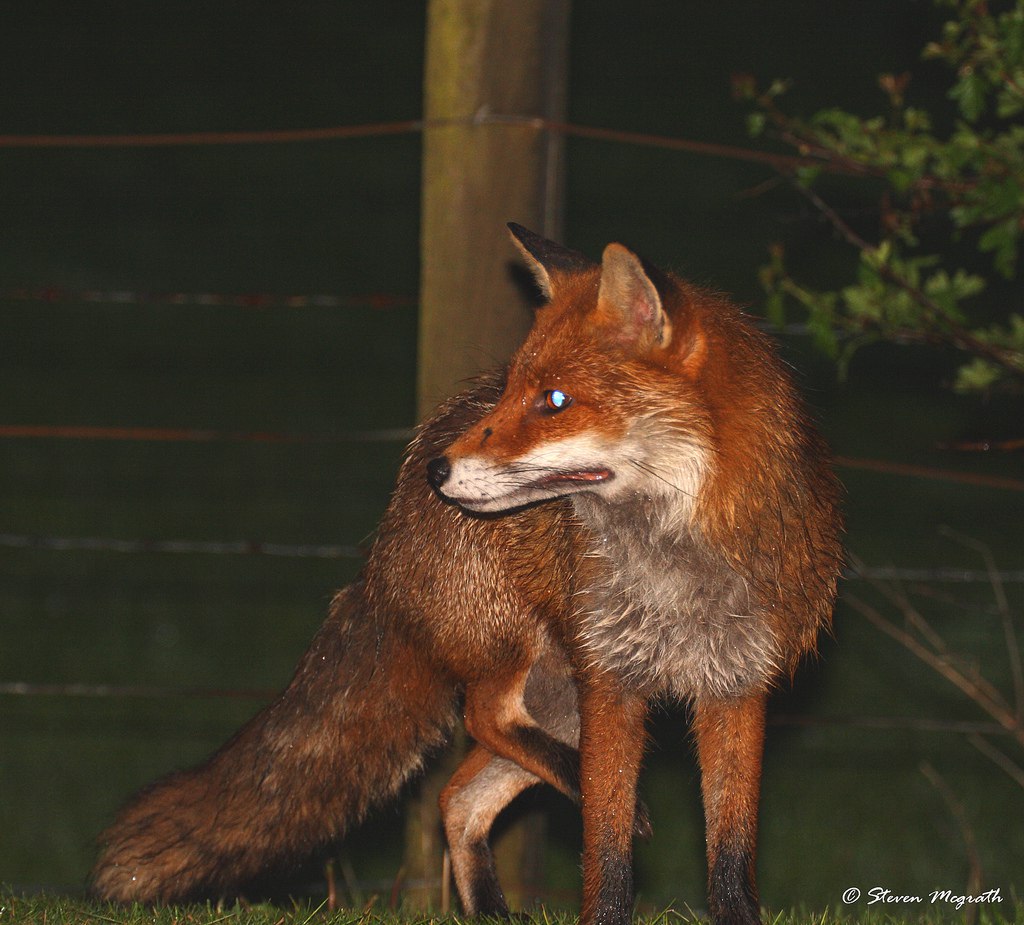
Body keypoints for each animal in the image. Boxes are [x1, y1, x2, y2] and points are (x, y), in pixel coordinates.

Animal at [90, 224, 843, 925]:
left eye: (555, 400)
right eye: (512, 391)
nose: (439, 471)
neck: (678, 569)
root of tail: (388, 527)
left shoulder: (738, 688)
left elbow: (732, 855)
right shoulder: (612, 682)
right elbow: (605, 852)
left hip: (558, 697)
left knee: (459, 793)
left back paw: (490, 906)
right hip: (524, 656)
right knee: (485, 722)